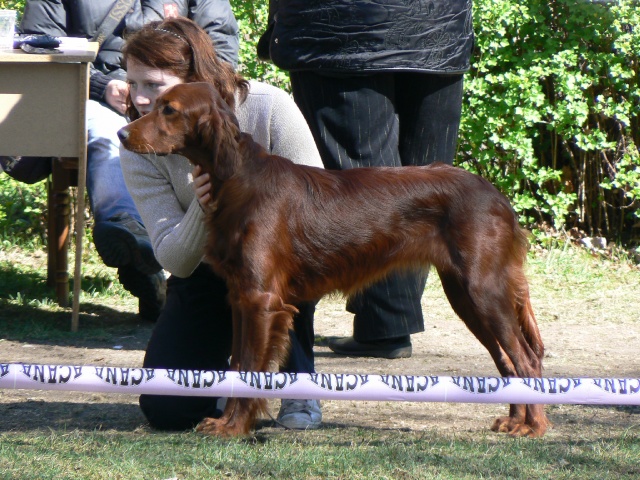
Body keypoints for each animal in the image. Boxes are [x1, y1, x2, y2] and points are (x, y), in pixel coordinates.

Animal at [118, 82, 550, 438]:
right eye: (155, 103)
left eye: (170, 109)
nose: (123, 133)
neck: (239, 178)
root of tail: (497, 196)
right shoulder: (242, 298)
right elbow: (238, 366)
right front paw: (227, 423)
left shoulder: (261, 300)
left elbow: (251, 368)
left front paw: (235, 428)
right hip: (466, 295)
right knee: (507, 361)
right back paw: (514, 419)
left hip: (482, 290)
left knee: (526, 359)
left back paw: (532, 426)